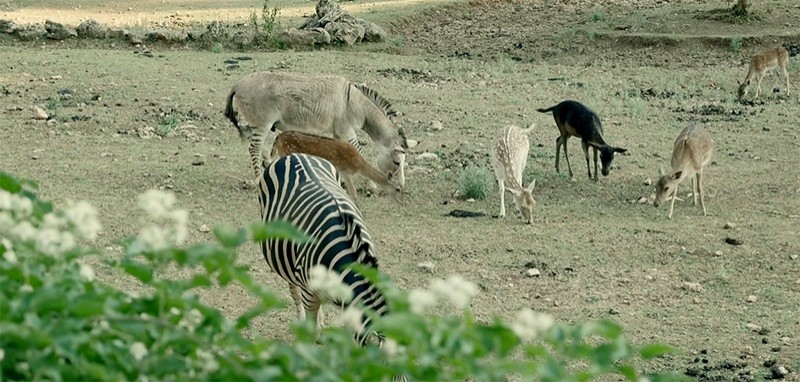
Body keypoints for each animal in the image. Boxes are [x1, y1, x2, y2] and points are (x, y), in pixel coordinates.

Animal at [225, 71, 412, 187]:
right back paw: (257, 179)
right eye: (397, 162)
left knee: (253, 142)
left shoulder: (338, 132)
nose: (401, 185)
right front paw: (371, 184)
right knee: (254, 148)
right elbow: (358, 153)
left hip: (256, 124)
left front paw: (340, 180)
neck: (357, 105)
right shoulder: (347, 131)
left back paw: (266, 162)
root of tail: (237, 84)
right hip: (262, 124)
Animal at [270, 131, 406, 204]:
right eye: (398, 189)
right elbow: (354, 195)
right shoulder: (345, 171)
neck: (359, 166)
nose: (402, 202)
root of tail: (277, 138)